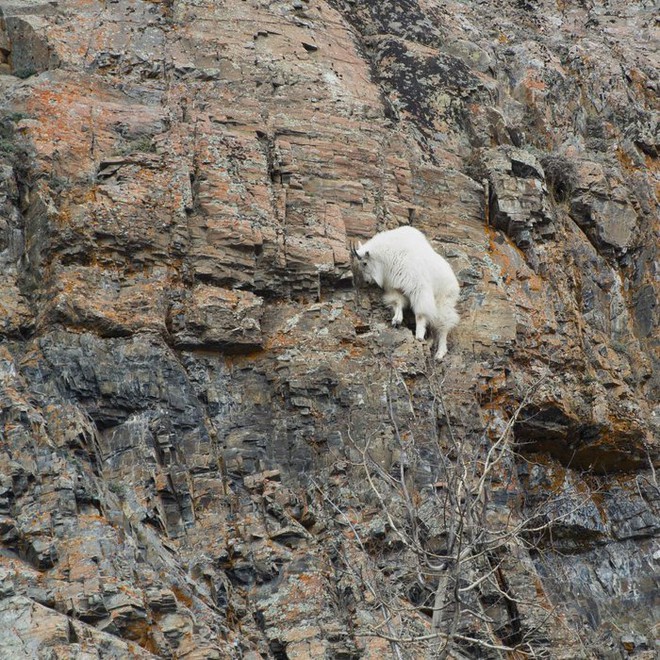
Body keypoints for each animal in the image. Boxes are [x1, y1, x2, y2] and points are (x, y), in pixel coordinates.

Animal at [350, 227, 458, 360]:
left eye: (364, 263)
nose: (367, 281)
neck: (389, 256)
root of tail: (454, 281)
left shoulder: (418, 287)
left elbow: (420, 314)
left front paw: (419, 335)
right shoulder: (396, 287)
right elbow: (398, 303)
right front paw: (396, 321)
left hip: (444, 300)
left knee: (444, 326)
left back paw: (440, 353)